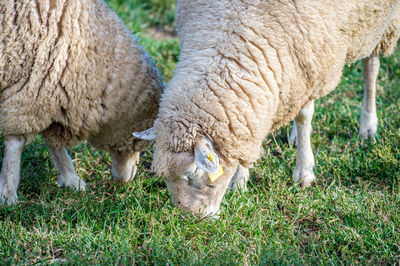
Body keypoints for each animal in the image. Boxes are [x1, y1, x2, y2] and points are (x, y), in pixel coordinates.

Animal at [0, 0, 164, 206]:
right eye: (136, 142)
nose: (126, 179)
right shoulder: (28, 89)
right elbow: (17, 143)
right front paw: (8, 193)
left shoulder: (45, 90)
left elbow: (52, 140)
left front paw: (71, 179)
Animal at [134, 0, 400, 216]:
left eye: (191, 173)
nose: (191, 218)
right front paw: (240, 178)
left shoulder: (311, 62)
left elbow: (305, 116)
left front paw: (304, 172)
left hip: (380, 23)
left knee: (371, 66)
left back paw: (368, 125)